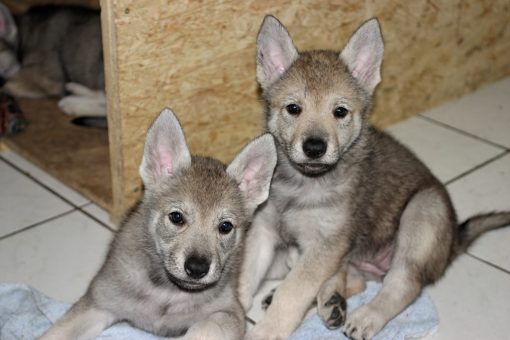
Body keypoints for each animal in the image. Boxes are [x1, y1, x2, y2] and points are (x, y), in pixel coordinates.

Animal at [41, 108, 276, 340]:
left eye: (225, 227)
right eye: (176, 217)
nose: (197, 269)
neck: (167, 293)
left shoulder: (229, 313)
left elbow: (203, 328)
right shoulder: (98, 302)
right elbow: (54, 333)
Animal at [238, 14, 510, 338]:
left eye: (340, 112)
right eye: (293, 108)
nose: (315, 147)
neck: (302, 183)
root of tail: (454, 240)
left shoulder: (326, 245)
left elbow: (293, 292)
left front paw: (265, 330)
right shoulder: (264, 231)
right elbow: (244, 277)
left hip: (422, 213)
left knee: (403, 285)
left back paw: (366, 315)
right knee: (354, 279)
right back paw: (329, 300)